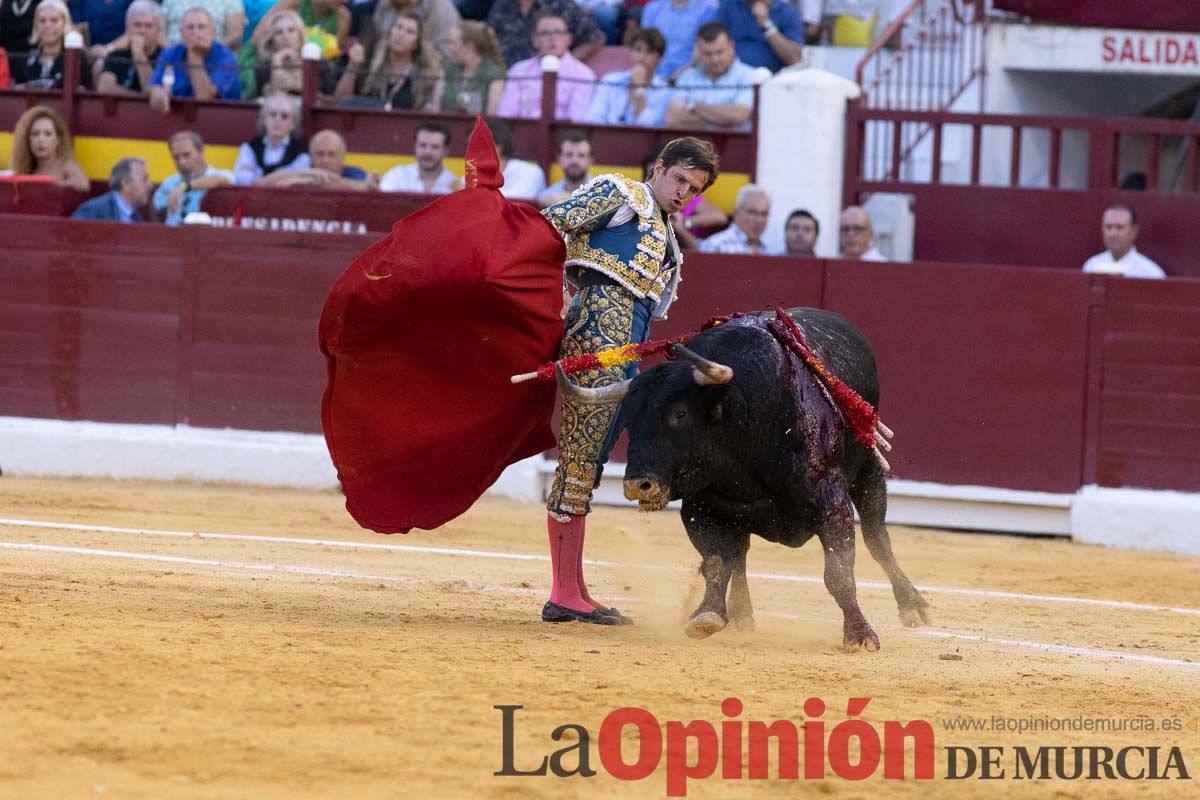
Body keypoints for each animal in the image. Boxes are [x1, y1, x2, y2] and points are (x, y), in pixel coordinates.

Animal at [556, 309, 931, 652]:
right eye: (629, 420)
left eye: (680, 414)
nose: (637, 485)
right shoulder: (701, 508)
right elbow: (716, 563)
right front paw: (707, 614)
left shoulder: (831, 502)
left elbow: (838, 573)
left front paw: (860, 635)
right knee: (739, 555)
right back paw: (740, 614)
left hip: (868, 468)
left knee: (877, 538)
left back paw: (913, 605)